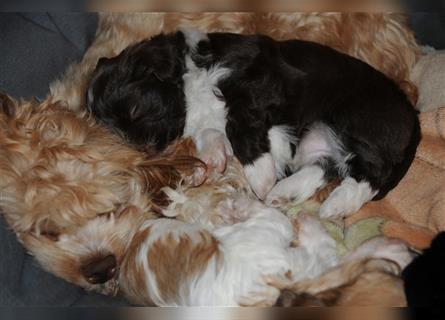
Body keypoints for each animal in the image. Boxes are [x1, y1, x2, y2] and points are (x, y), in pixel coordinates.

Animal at [87, 30, 420, 219]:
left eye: (134, 109)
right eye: (120, 135)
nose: (148, 148)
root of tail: (410, 110)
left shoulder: (256, 85)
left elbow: (239, 126)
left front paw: (260, 174)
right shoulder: (207, 120)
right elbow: (211, 134)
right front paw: (213, 161)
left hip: (356, 120)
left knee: (372, 172)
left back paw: (336, 205)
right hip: (318, 137)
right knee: (328, 166)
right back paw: (285, 191)